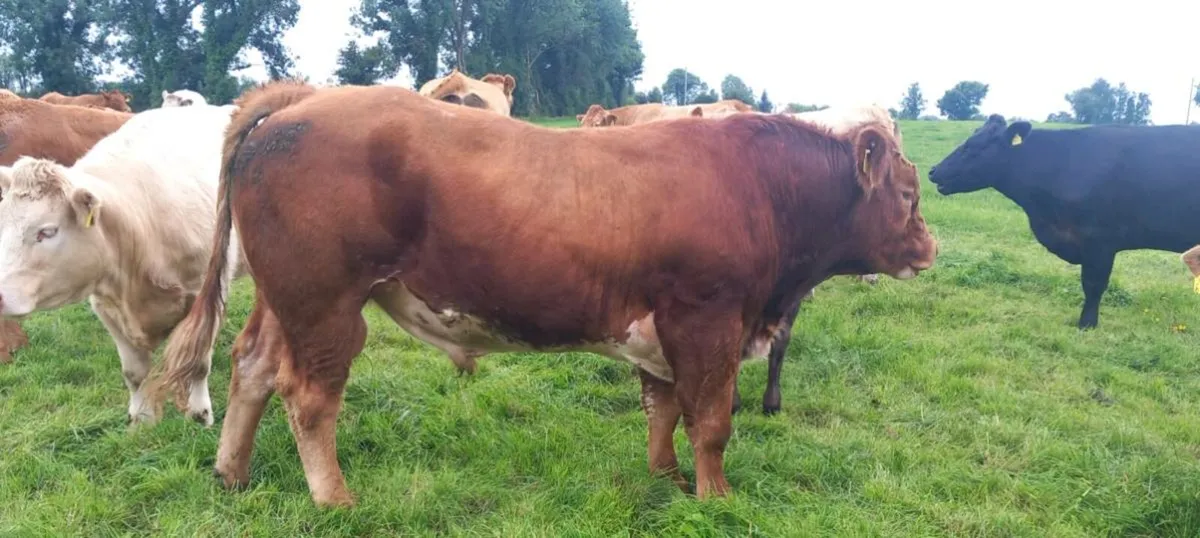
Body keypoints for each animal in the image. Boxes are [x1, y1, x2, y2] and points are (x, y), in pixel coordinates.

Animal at [148, 80, 936, 507]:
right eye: (907, 193)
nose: (929, 247)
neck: (763, 188)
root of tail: (298, 103)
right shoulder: (709, 317)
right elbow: (711, 421)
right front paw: (717, 498)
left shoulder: (663, 328)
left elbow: (663, 411)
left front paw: (667, 479)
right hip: (327, 305)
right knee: (309, 396)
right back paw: (334, 498)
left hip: (285, 298)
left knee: (251, 366)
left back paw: (231, 473)